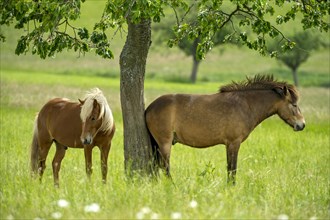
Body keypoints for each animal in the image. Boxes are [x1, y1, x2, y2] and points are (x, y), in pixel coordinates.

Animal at [146, 75, 306, 184]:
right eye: (294, 104)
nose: (302, 124)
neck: (245, 105)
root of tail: (149, 108)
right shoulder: (234, 143)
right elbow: (232, 168)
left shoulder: (229, 145)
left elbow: (230, 168)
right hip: (165, 143)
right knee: (165, 167)